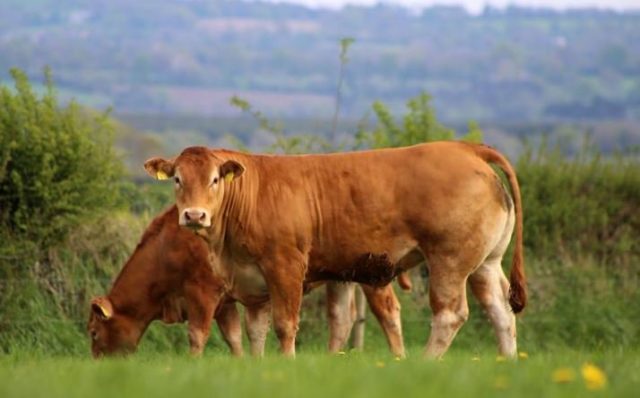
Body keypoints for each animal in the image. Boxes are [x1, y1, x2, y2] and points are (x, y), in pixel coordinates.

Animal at [86, 205, 404, 358]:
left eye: (93, 332)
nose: (98, 364)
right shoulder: (224, 302)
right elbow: (234, 337)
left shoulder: (203, 292)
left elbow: (198, 334)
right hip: (340, 278)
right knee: (341, 319)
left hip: (374, 274)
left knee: (388, 311)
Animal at [144, 142, 524, 358]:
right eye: (177, 179)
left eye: (214, 179)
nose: (194, 215)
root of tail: (466, 148)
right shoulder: (253, 282)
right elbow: (256, 331)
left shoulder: (285, 267)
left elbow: (285, 325)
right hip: (486, 264)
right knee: (501, 313)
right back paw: (507, 363)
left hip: (449, 260)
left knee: (450, 314)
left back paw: (425, 363)